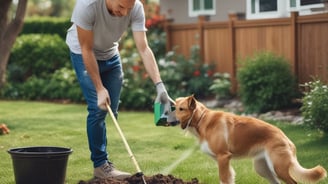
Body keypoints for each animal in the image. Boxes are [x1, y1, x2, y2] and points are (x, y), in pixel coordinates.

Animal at [174, 95, 326, 183]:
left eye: (181, 109)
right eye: (174, 108)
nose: (169, 120)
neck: (202, 119)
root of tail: (286, 138)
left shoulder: (223, 157)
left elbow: (223, 179)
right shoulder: (223, 161)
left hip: (278, 167)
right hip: (262, 168)